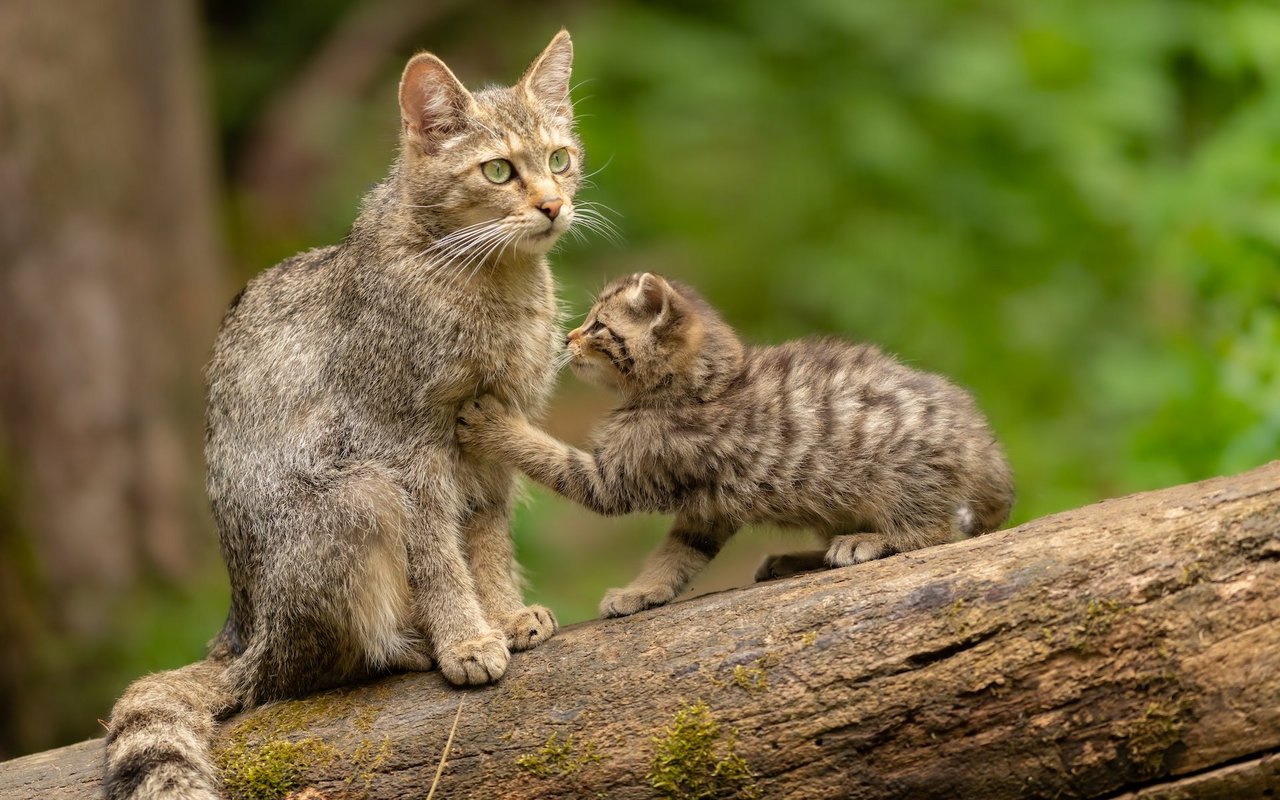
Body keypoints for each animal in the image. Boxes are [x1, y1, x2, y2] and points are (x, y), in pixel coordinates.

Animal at [107, 32, 591, 800]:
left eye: (559, 159)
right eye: (497, 170)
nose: (552, 206)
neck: (492, 283)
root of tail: (240, 637)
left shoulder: (489, 439)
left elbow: (486, 543)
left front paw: (504, 613)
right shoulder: (404, 444)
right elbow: (439, 557)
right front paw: (467, 636)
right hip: (359, 499)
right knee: (301, 675)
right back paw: (411, 646)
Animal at [455, 271, 1013, 614]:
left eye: (597, 326)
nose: (567, 338)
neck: (704, 387)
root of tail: (978, 433)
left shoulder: (622, 478)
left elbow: (555, 460)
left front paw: (495, 422)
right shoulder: (707, 509)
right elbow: (675, 555)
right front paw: (643, 591)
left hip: (898, 480)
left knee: (934, 533)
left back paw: (870, 541)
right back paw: (798, 560)